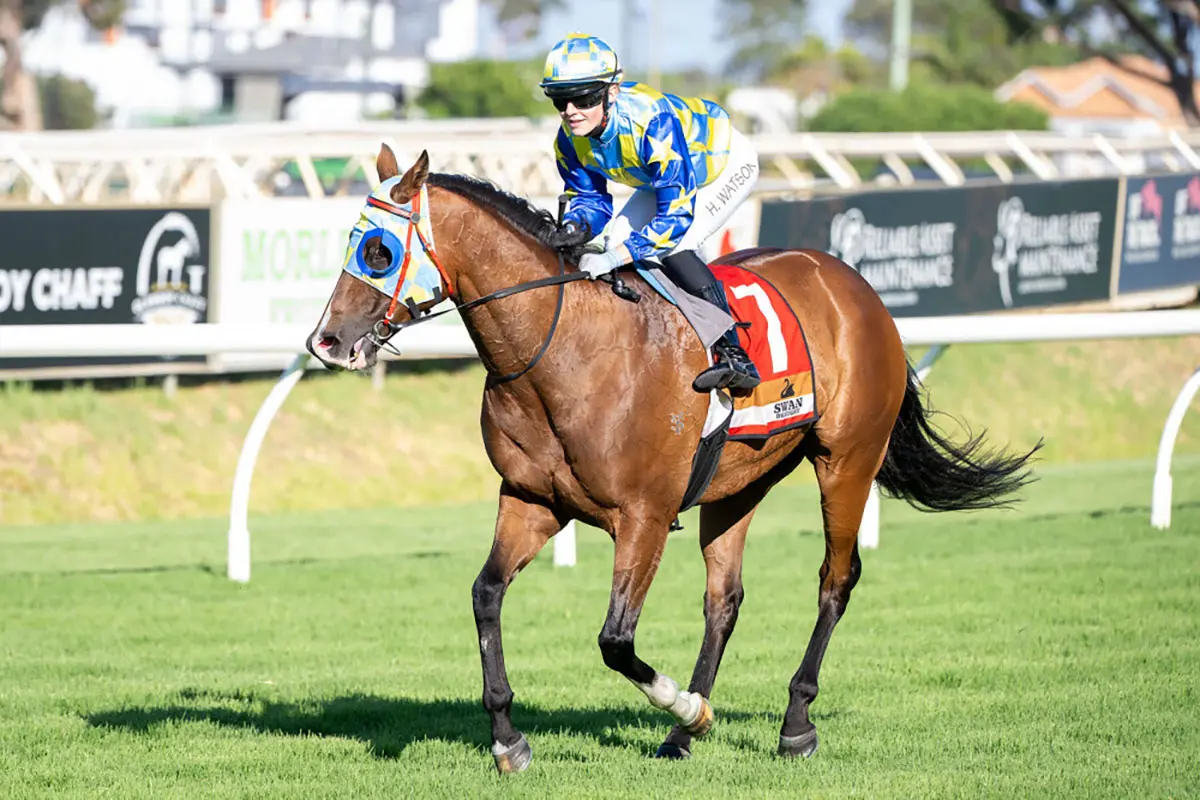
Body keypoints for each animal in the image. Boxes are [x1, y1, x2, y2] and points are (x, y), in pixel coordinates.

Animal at [304, 146, 1036, 772]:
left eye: (377, 250)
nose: (326, 341)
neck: (562, 351)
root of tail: (855, 285)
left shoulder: (644, 517)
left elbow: (615, 641)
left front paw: (684, 705)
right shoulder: (533, 500)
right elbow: (486, 595)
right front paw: (510, 740)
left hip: (847, 461)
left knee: (836, 580)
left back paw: (792, 724)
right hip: (738, 484)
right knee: (725, 599)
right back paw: (685, 736)